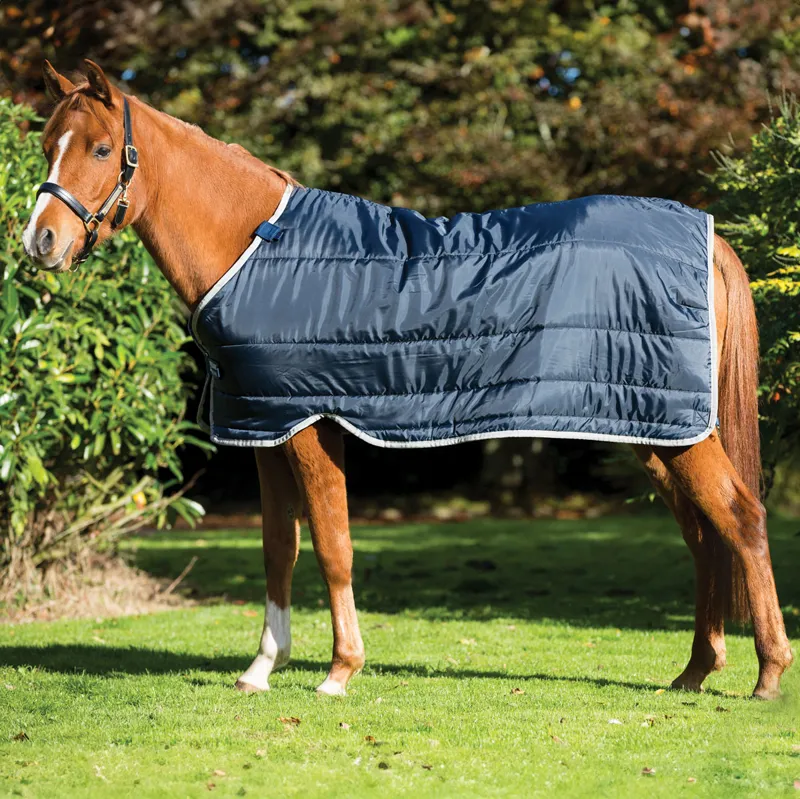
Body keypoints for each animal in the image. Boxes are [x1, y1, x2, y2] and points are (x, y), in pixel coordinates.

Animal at [22, 60, 792, 700]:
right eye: (47, 144)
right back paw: (695, 671)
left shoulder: (310, 425)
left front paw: (340, 670)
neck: (255, 247)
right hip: (650, 427)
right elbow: (278, 549)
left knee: (743, 519)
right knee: (705, 533)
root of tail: (708, 239)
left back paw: (767, 675)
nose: (39, 242)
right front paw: (262, 667)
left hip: (676, 432)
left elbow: (332, 545)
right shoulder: (264, 427)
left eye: (99, 149)